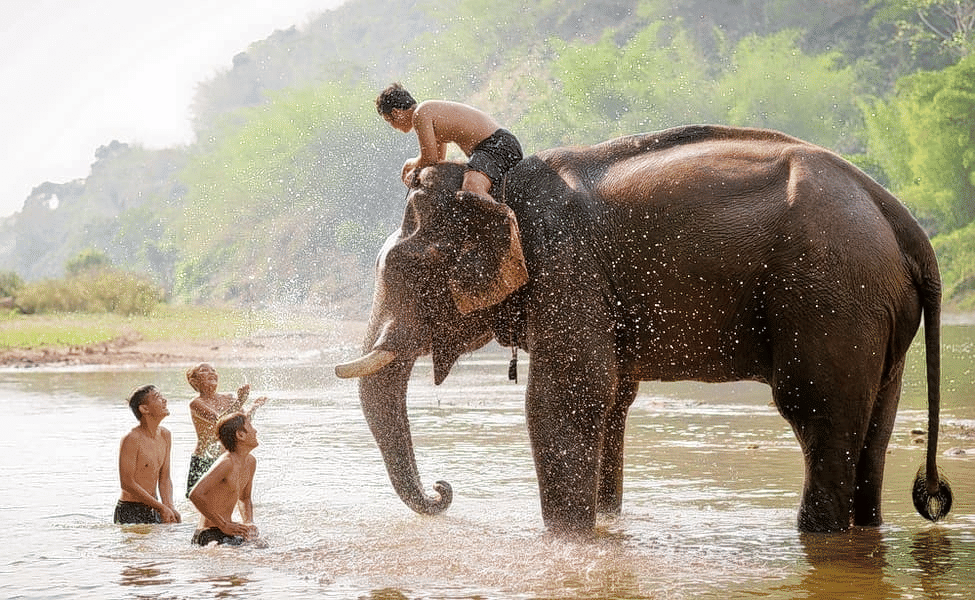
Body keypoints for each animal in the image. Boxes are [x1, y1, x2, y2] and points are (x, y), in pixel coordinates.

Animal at [335, 124, 952, 534]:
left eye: (405, 269)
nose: (444, 491)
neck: (497, 186)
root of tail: (903, 221)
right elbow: (612, 397)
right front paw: (606, 525)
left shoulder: (567, 266)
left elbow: (567, 395)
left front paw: (568, 542)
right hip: (876, 315)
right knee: (874, 432)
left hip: (830, 301)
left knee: (817, 417)